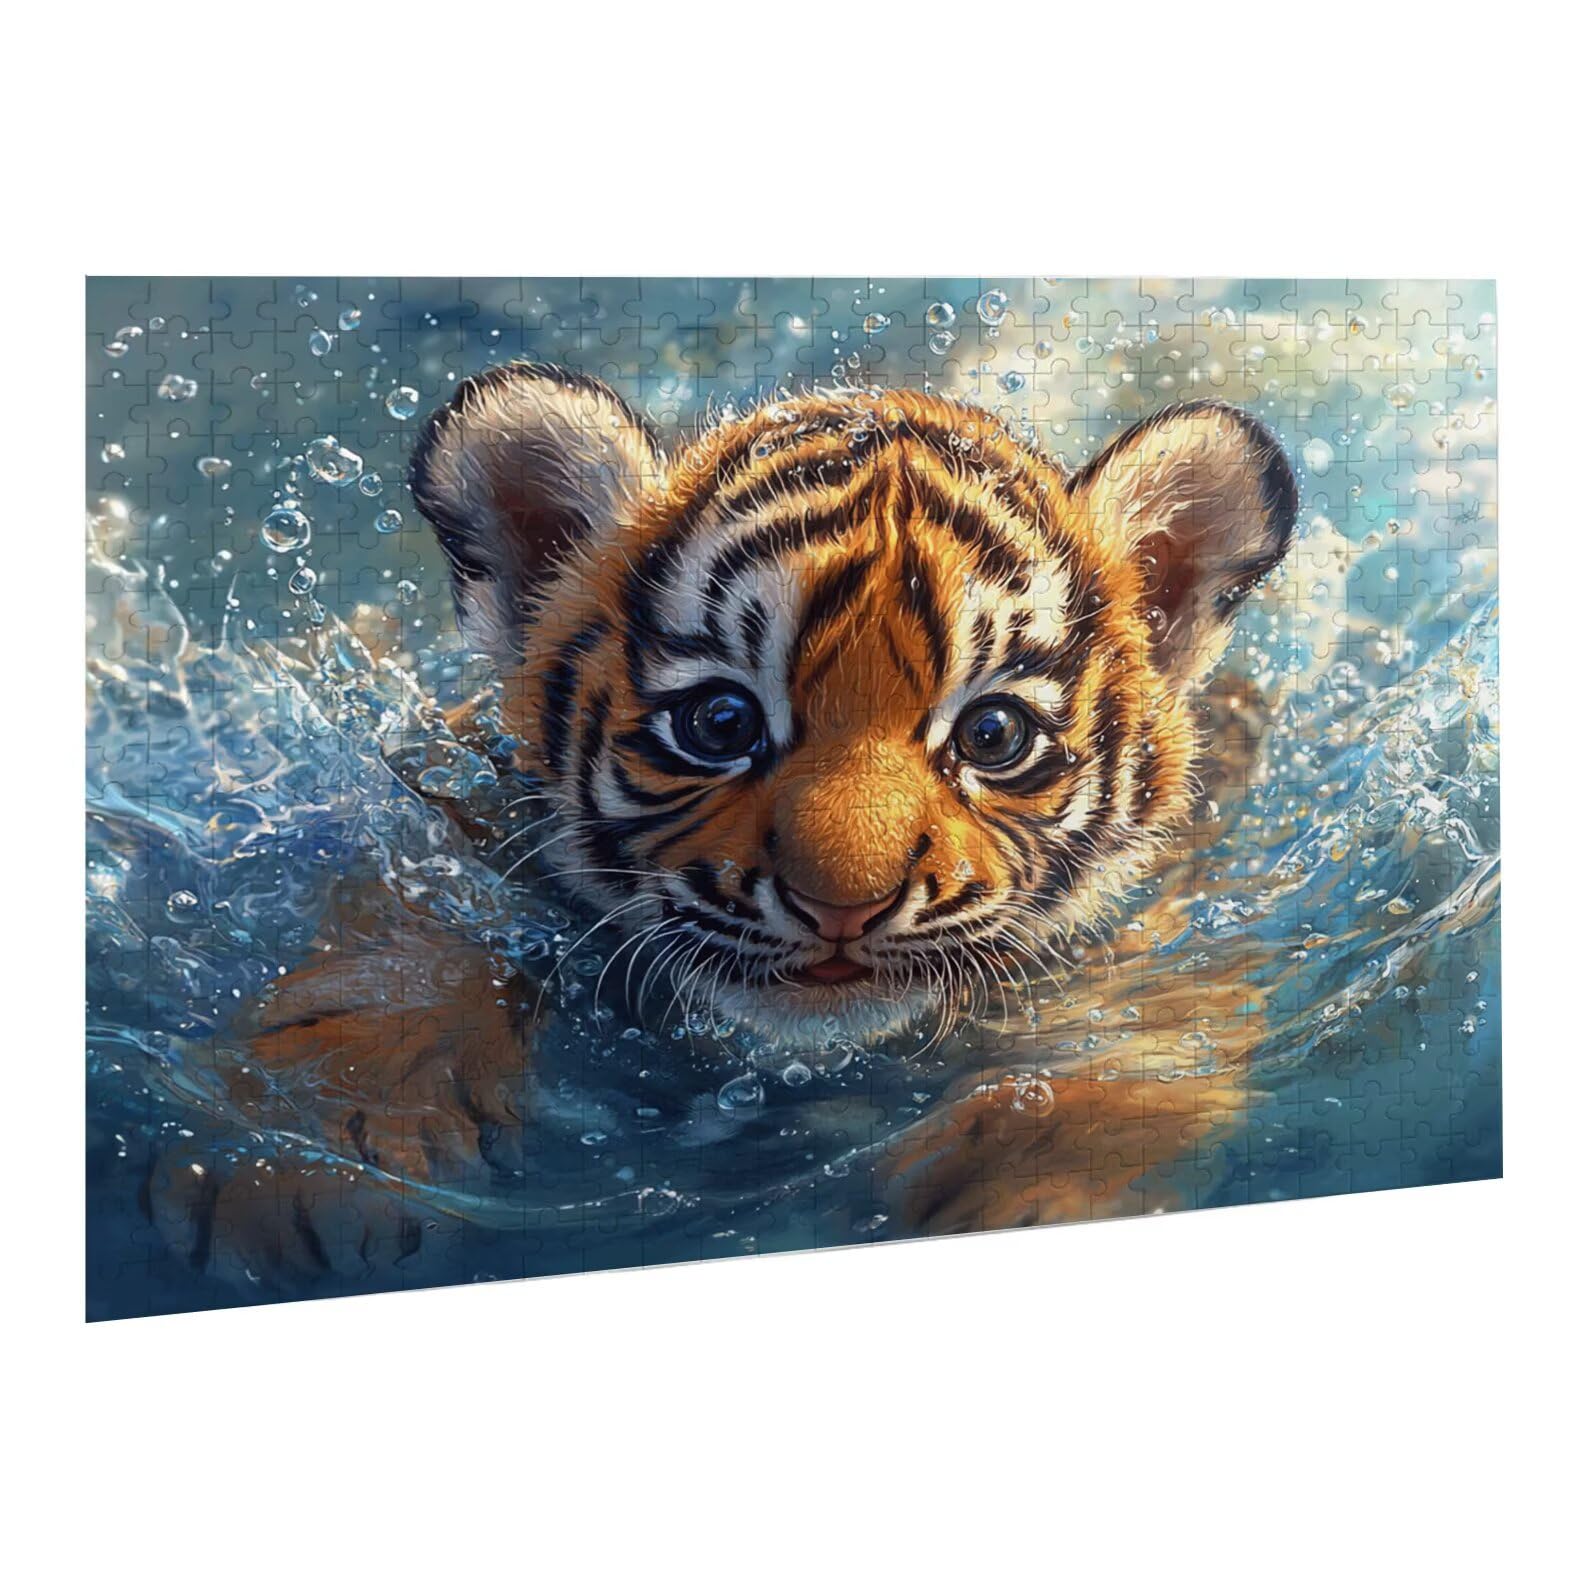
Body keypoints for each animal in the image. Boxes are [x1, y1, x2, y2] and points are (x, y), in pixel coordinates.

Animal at [153, 364, 1297, 1292]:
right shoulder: (452, 800)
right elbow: (399, 950)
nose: (844, 904)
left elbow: (1139, 1039)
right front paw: (312, 1158)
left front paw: (1020, 1182)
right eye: (719, 723)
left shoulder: (1184, 897)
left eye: (994, 733)